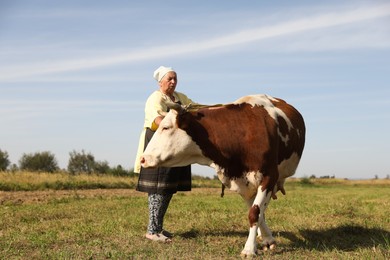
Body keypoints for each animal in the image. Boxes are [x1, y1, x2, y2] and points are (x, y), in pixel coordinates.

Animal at [139, 94, 304, 256]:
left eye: (166, 127)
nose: (143, 158)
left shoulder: (269, 177)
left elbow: (255, 212)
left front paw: (249, 249)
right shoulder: (242, 182)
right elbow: (256, 212)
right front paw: (264, 239)